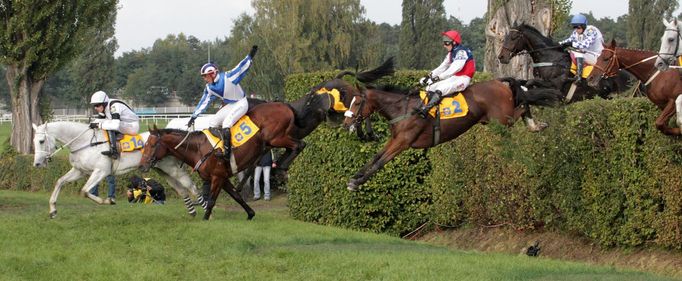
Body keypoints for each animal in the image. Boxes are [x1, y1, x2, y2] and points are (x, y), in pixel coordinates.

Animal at [31, 120, 206, 217]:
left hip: (171, 168)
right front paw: (53, 210)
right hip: (162, 170)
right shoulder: (80, 171)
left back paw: (205, 209)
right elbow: (59, 182)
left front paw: (109, 200)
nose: (37, 164)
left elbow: (85, 191)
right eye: (34, 141)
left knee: (191, 185)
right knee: (181, 189)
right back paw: (192, 211)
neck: (86, 142)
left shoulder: (100, 171)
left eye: (41, 141)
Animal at [138, 101, 302, 220]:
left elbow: (211, 200)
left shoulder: (217, 177)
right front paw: (250, 214)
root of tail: (284, 105)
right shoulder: (223, 177)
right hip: (274, 139)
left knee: (300, 144)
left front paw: (205, 219)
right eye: (145, 144)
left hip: (275, 137)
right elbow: (236, 196)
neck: (198, 149)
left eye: (152, 145)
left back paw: (281, 167)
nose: (142, 166)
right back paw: (281, 166)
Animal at [340, 77, 556, 189]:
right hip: (495, 120)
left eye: (357, 103)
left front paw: (357, 182)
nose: (346, 122)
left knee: (524, 103)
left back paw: (535, 125)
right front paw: (355, 177)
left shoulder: (403, 142)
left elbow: (380, 162)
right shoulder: (395, 139)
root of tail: (500, 83)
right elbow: (376, 157)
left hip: (502, 119)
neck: (403, 109)